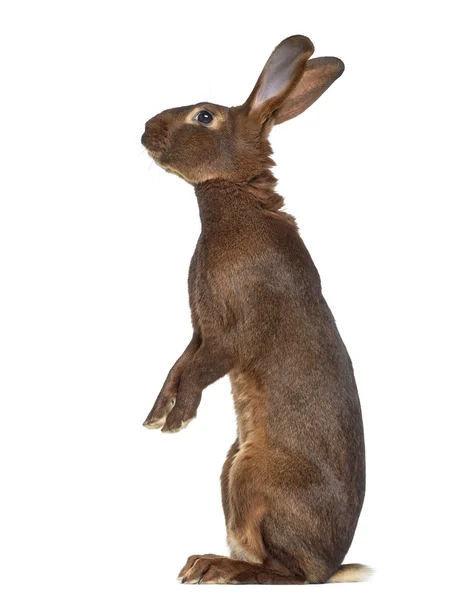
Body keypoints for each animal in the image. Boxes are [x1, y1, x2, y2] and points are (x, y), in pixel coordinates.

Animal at [142, 34, 368, 584]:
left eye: (204, 116)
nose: (145, 129)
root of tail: (333, 565)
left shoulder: (231, 334)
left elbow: (199, 370)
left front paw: (179, 421)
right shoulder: (199, 331)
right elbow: (179, 366)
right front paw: (157, 416)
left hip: (253, 476)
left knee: (289, 573)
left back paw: (214, 567)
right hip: (231, 467)